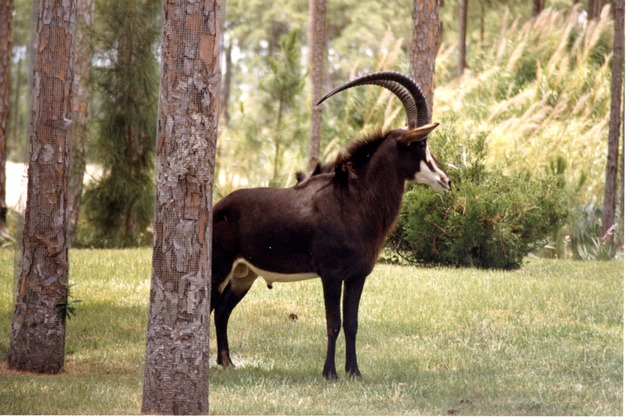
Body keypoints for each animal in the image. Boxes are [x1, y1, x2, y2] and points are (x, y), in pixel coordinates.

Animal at [215, 70, 452, 378]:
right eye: (420, 144)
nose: (446, 180)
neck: (353, 200)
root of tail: (217, 207)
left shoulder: (357, 276)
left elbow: (352, 325)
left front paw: (354, 372)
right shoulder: (331, 275)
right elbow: (333, 323)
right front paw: (330, 373)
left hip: (244, 275)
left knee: (222, 311)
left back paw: (226, 362)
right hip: (218, 268)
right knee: (209, 307)